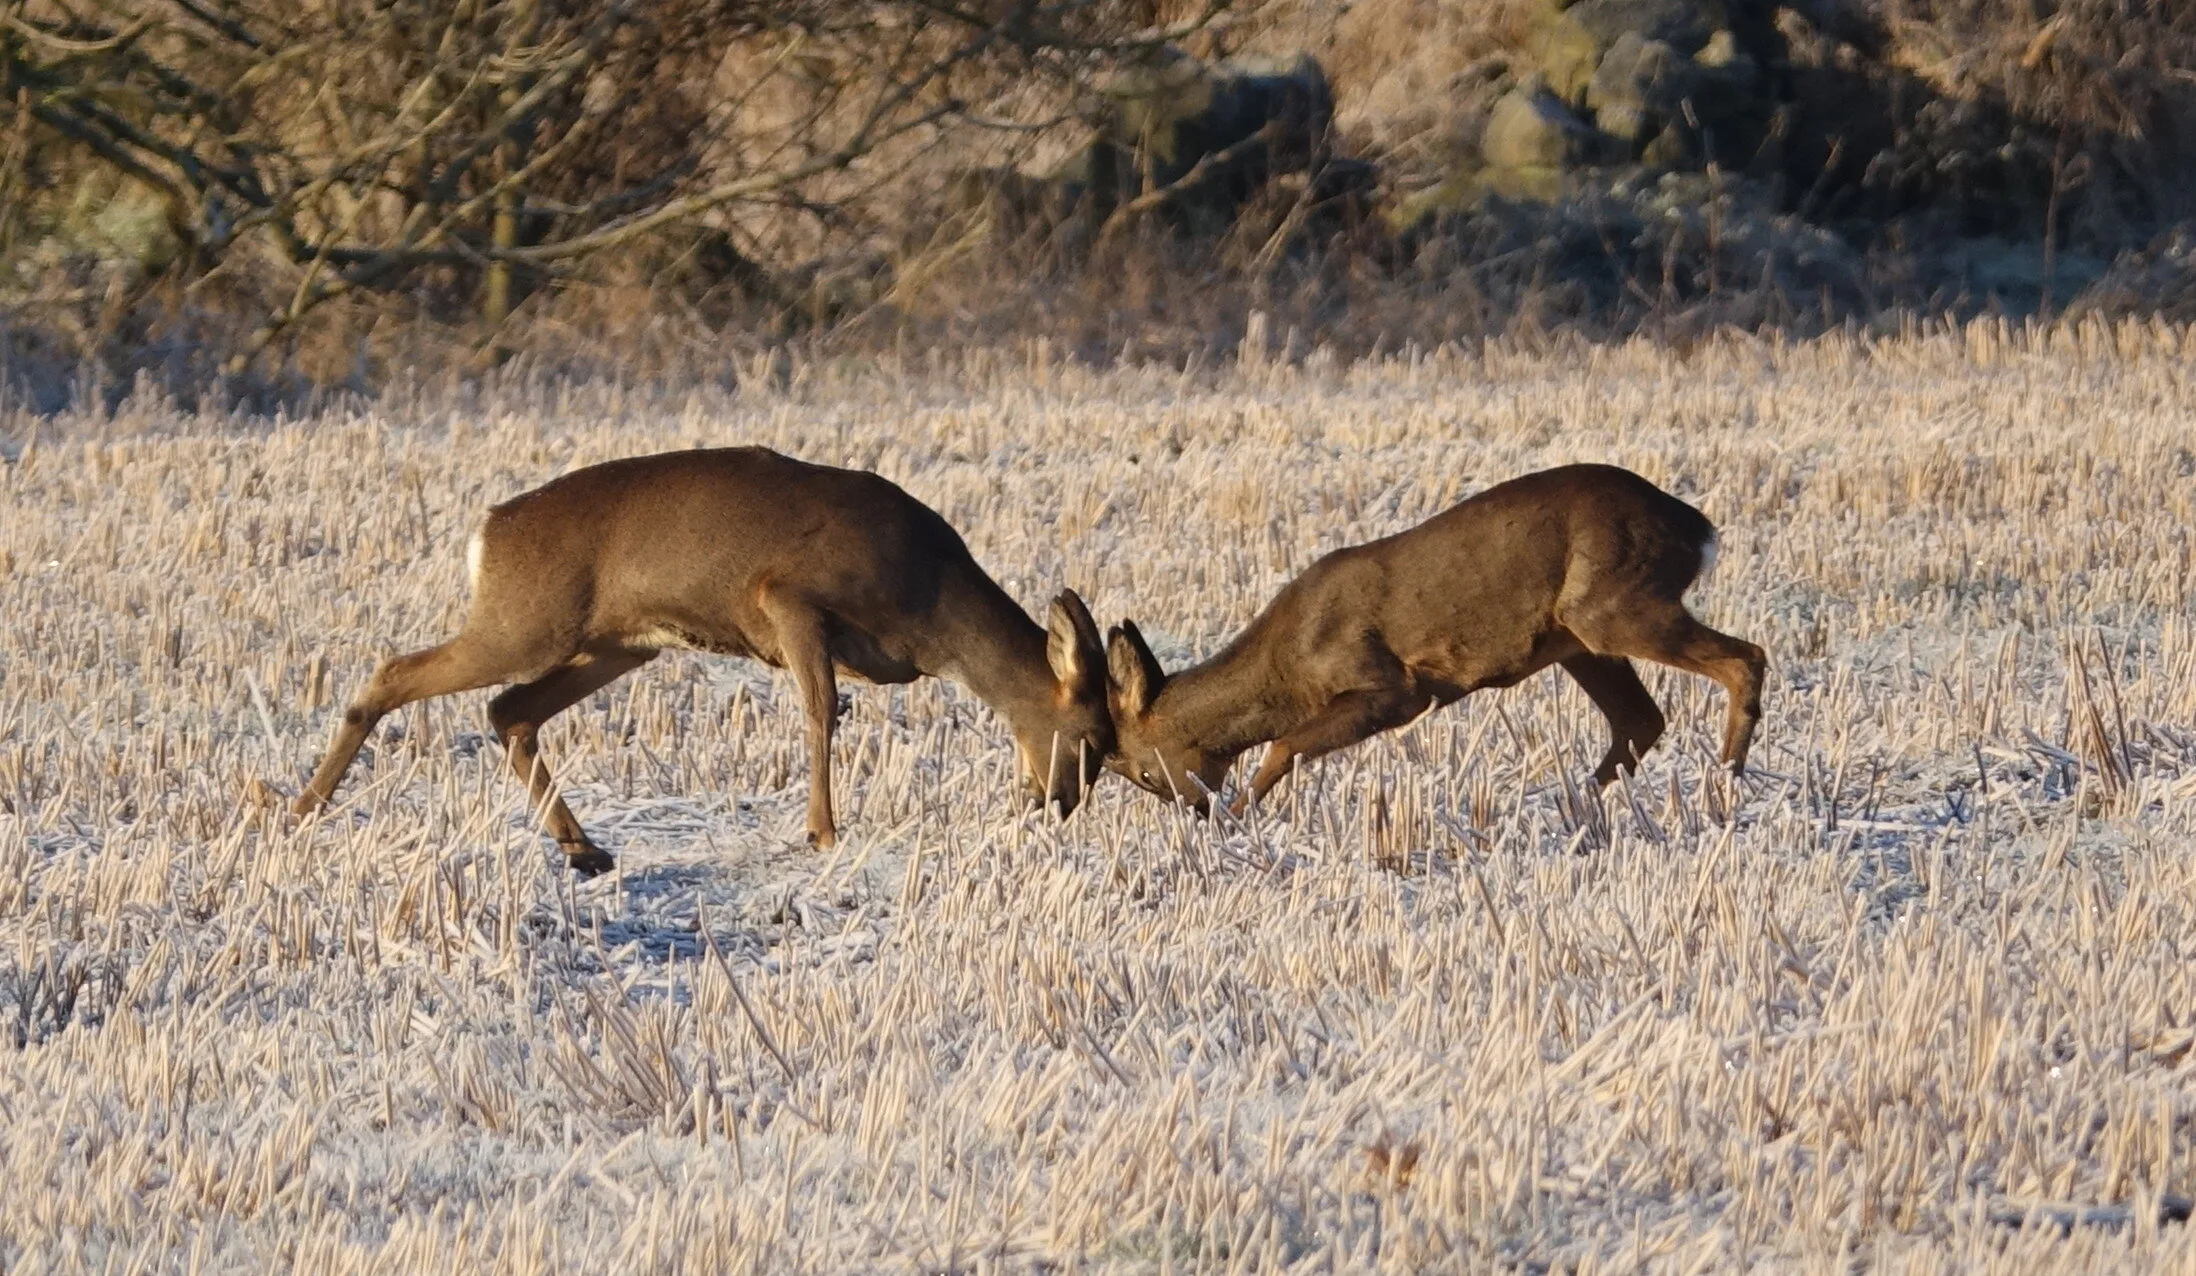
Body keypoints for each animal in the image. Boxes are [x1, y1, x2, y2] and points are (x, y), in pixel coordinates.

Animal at [291, 447, 1113, 875]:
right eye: (1095, 738)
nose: (1058, 806)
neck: (931, 605)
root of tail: (488, 529)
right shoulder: (787, 595)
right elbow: (822, 712)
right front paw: (823, 834)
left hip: (617, 644)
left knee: (509, 708)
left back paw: (585, 848)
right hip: (527, 623)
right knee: (397, 672)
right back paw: (301, 809)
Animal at [1103, 464, 1766, 815]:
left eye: (1140, 772)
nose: (1193, 810)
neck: (1285, 670)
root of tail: (1696, 527)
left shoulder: (1392, 684)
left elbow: (1285, 745)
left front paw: (1239, 818)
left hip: (1614, 603)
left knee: (1745, 657)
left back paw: (1726, 780)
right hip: (1581, 639)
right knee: (1640, 719)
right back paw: (1567, 804)